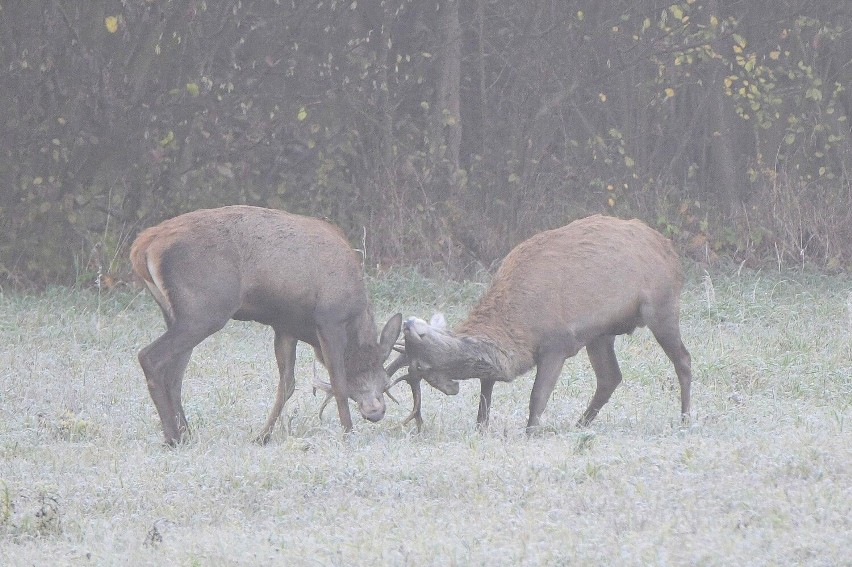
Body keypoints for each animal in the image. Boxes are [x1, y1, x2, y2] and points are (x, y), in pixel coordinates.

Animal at [130, 206, 402, 446]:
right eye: (385, 381)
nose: (376, 412)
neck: (356, 316)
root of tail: (142, 246)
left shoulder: (285, 326)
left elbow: (287, 385)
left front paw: (262, 436)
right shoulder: (330, 318)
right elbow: (338, 382)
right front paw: (348, 434)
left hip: (176, 313)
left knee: (175, 375)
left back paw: (185, 434)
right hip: (204, 310)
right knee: (150, 356)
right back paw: (172, 437)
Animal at [386, 215, 692, 432]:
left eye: (422, 363)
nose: (407, 322)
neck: (519, 328)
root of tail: (670, 251)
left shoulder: (558, 343)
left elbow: (537, 396)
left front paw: (530, 431)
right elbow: (485, 392)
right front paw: (481, 428)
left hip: (661, 305)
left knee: (683, 359)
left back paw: (685, 419)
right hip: (600, 333)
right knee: (610, 377)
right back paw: (579, 425)